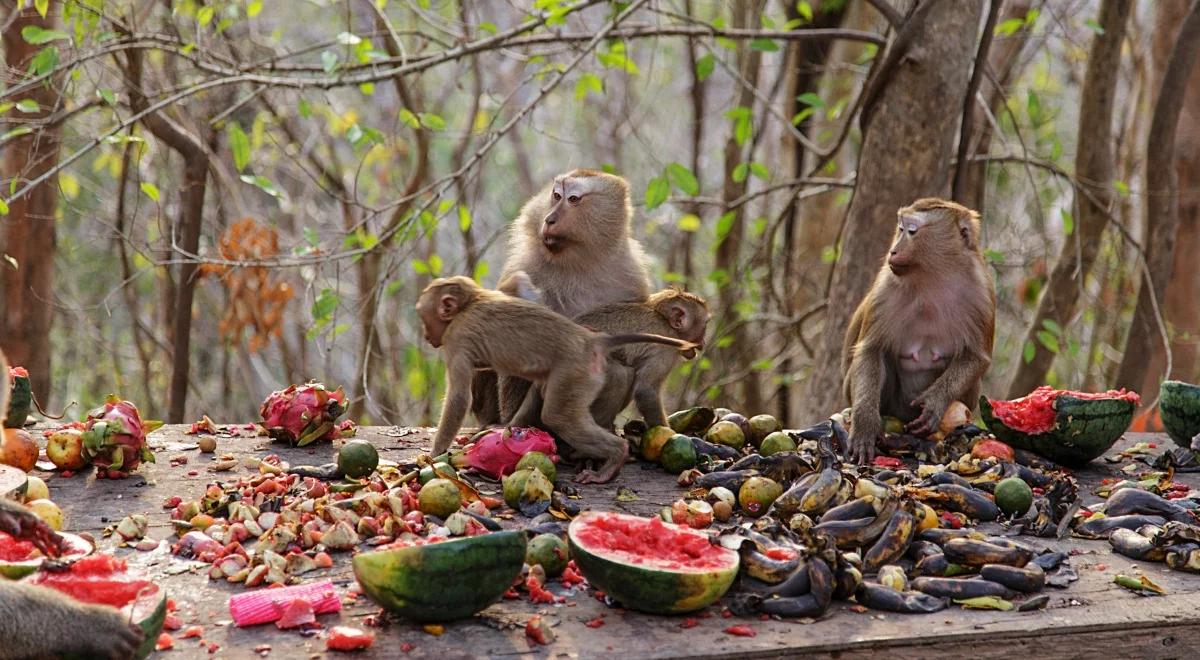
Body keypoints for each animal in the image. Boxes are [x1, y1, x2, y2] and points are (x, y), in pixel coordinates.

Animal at [470, 169, 657, 424]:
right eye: (556, 196)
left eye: (573, 199)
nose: (549, 219)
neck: (580, 261)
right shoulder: (524, 265)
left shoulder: (632, 277)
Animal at [513, 285, 700, 432]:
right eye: (703, 326)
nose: (703, 342)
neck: (665, 321)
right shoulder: (667, 351)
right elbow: (646, 392)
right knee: (620, 374)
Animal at [840, 200, 998, 465]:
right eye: (900, 228)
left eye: (912, 231)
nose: (893, 251)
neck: (933, 278)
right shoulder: (885, 288)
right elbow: (871, 350)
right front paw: (864, 424)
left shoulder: (982, 292)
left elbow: (977, 357)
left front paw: (935, 401)